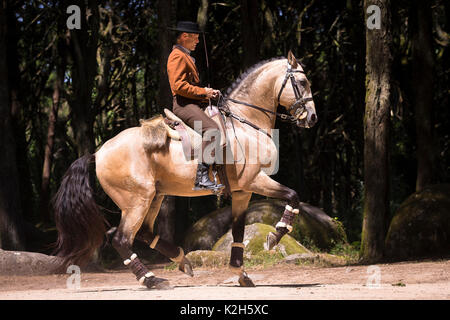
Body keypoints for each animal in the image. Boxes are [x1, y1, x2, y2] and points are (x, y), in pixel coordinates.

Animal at [51, 51, 316, 288]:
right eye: (302, 82)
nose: (312, 118)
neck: (244, 123)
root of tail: (98, 152)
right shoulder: (254, 181)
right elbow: (293, 196)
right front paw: (274, 236)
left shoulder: (243, 192)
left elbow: (239, 231)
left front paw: (240, 274)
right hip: (137, 200)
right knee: (121, 238)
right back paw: (152, 280)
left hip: (155, 196)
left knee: (143, 233)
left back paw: (182, 260)